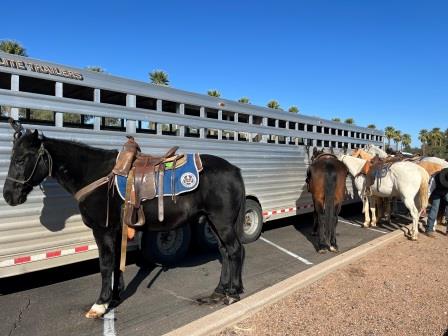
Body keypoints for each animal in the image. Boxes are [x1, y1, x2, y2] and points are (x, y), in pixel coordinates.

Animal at [2, 120, 245, 318]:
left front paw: (100, 304)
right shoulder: (117, 230)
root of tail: (234, 170)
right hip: (212, 221)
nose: (8, 195)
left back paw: (233, 293)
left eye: (21, 159)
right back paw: (220, 291)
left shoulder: (103, 230)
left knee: (234, 250)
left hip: (222, 222)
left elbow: (105, 264)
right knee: (224, 252)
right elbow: (116, 264)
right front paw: (115, 297)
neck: (95, 174)